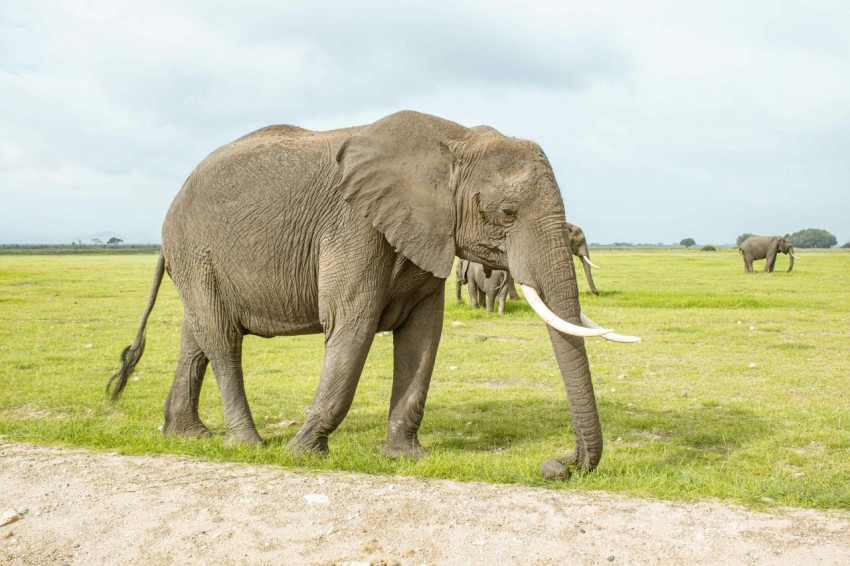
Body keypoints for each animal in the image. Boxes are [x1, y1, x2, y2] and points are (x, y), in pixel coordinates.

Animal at [107, 110, 636, 474]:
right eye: (506, 213)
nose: (559, 464)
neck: (454, 141)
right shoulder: (355, 225)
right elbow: (351, 326)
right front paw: (303, 453)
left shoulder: (424, 234)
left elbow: (424, 337)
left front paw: (405, 457)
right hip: (196, 249)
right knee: (222, 339)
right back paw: (247, 444)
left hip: (199, 258)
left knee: (196, 337)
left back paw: (188, 436)